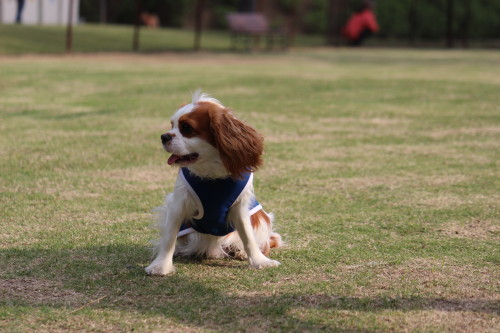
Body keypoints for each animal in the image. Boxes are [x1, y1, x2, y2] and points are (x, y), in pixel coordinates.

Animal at [146, 91, 284, 274]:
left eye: (186, 128)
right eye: (172, 125)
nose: (164, 136)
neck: (211, 172)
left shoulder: (240, 207)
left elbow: (248, 237)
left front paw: (258, 261)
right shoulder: (178, 204)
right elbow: (169, 238)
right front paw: (161, 265)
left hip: (261, 219)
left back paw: (241, 252)